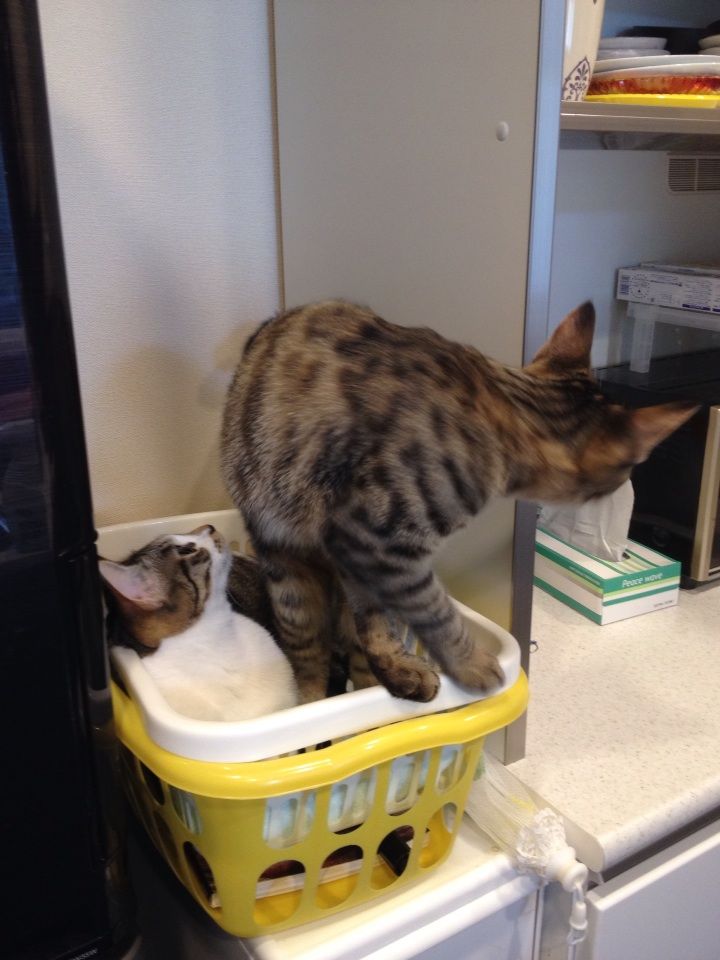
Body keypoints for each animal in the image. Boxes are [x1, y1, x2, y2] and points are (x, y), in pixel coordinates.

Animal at [220, 300, 697, 704]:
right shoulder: (374, 540)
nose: (627, 484)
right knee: (308, 663)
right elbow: (433, 607)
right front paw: (470, 665)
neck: (512, 412)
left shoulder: (358, 556)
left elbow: (374, 625)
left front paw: (392, 669)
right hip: (286, 568)